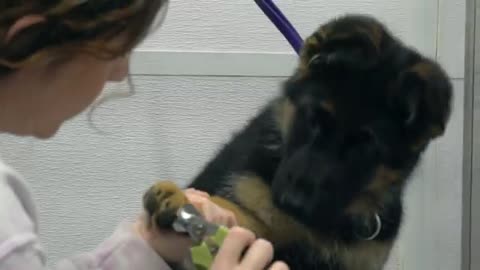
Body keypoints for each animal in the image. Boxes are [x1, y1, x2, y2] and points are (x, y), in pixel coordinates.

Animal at [144, 14, 452, 270]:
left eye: (366, 146)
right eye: (313, 118)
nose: (292, 204)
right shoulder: (249, 206)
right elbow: (235, 216)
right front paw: (181, 199)